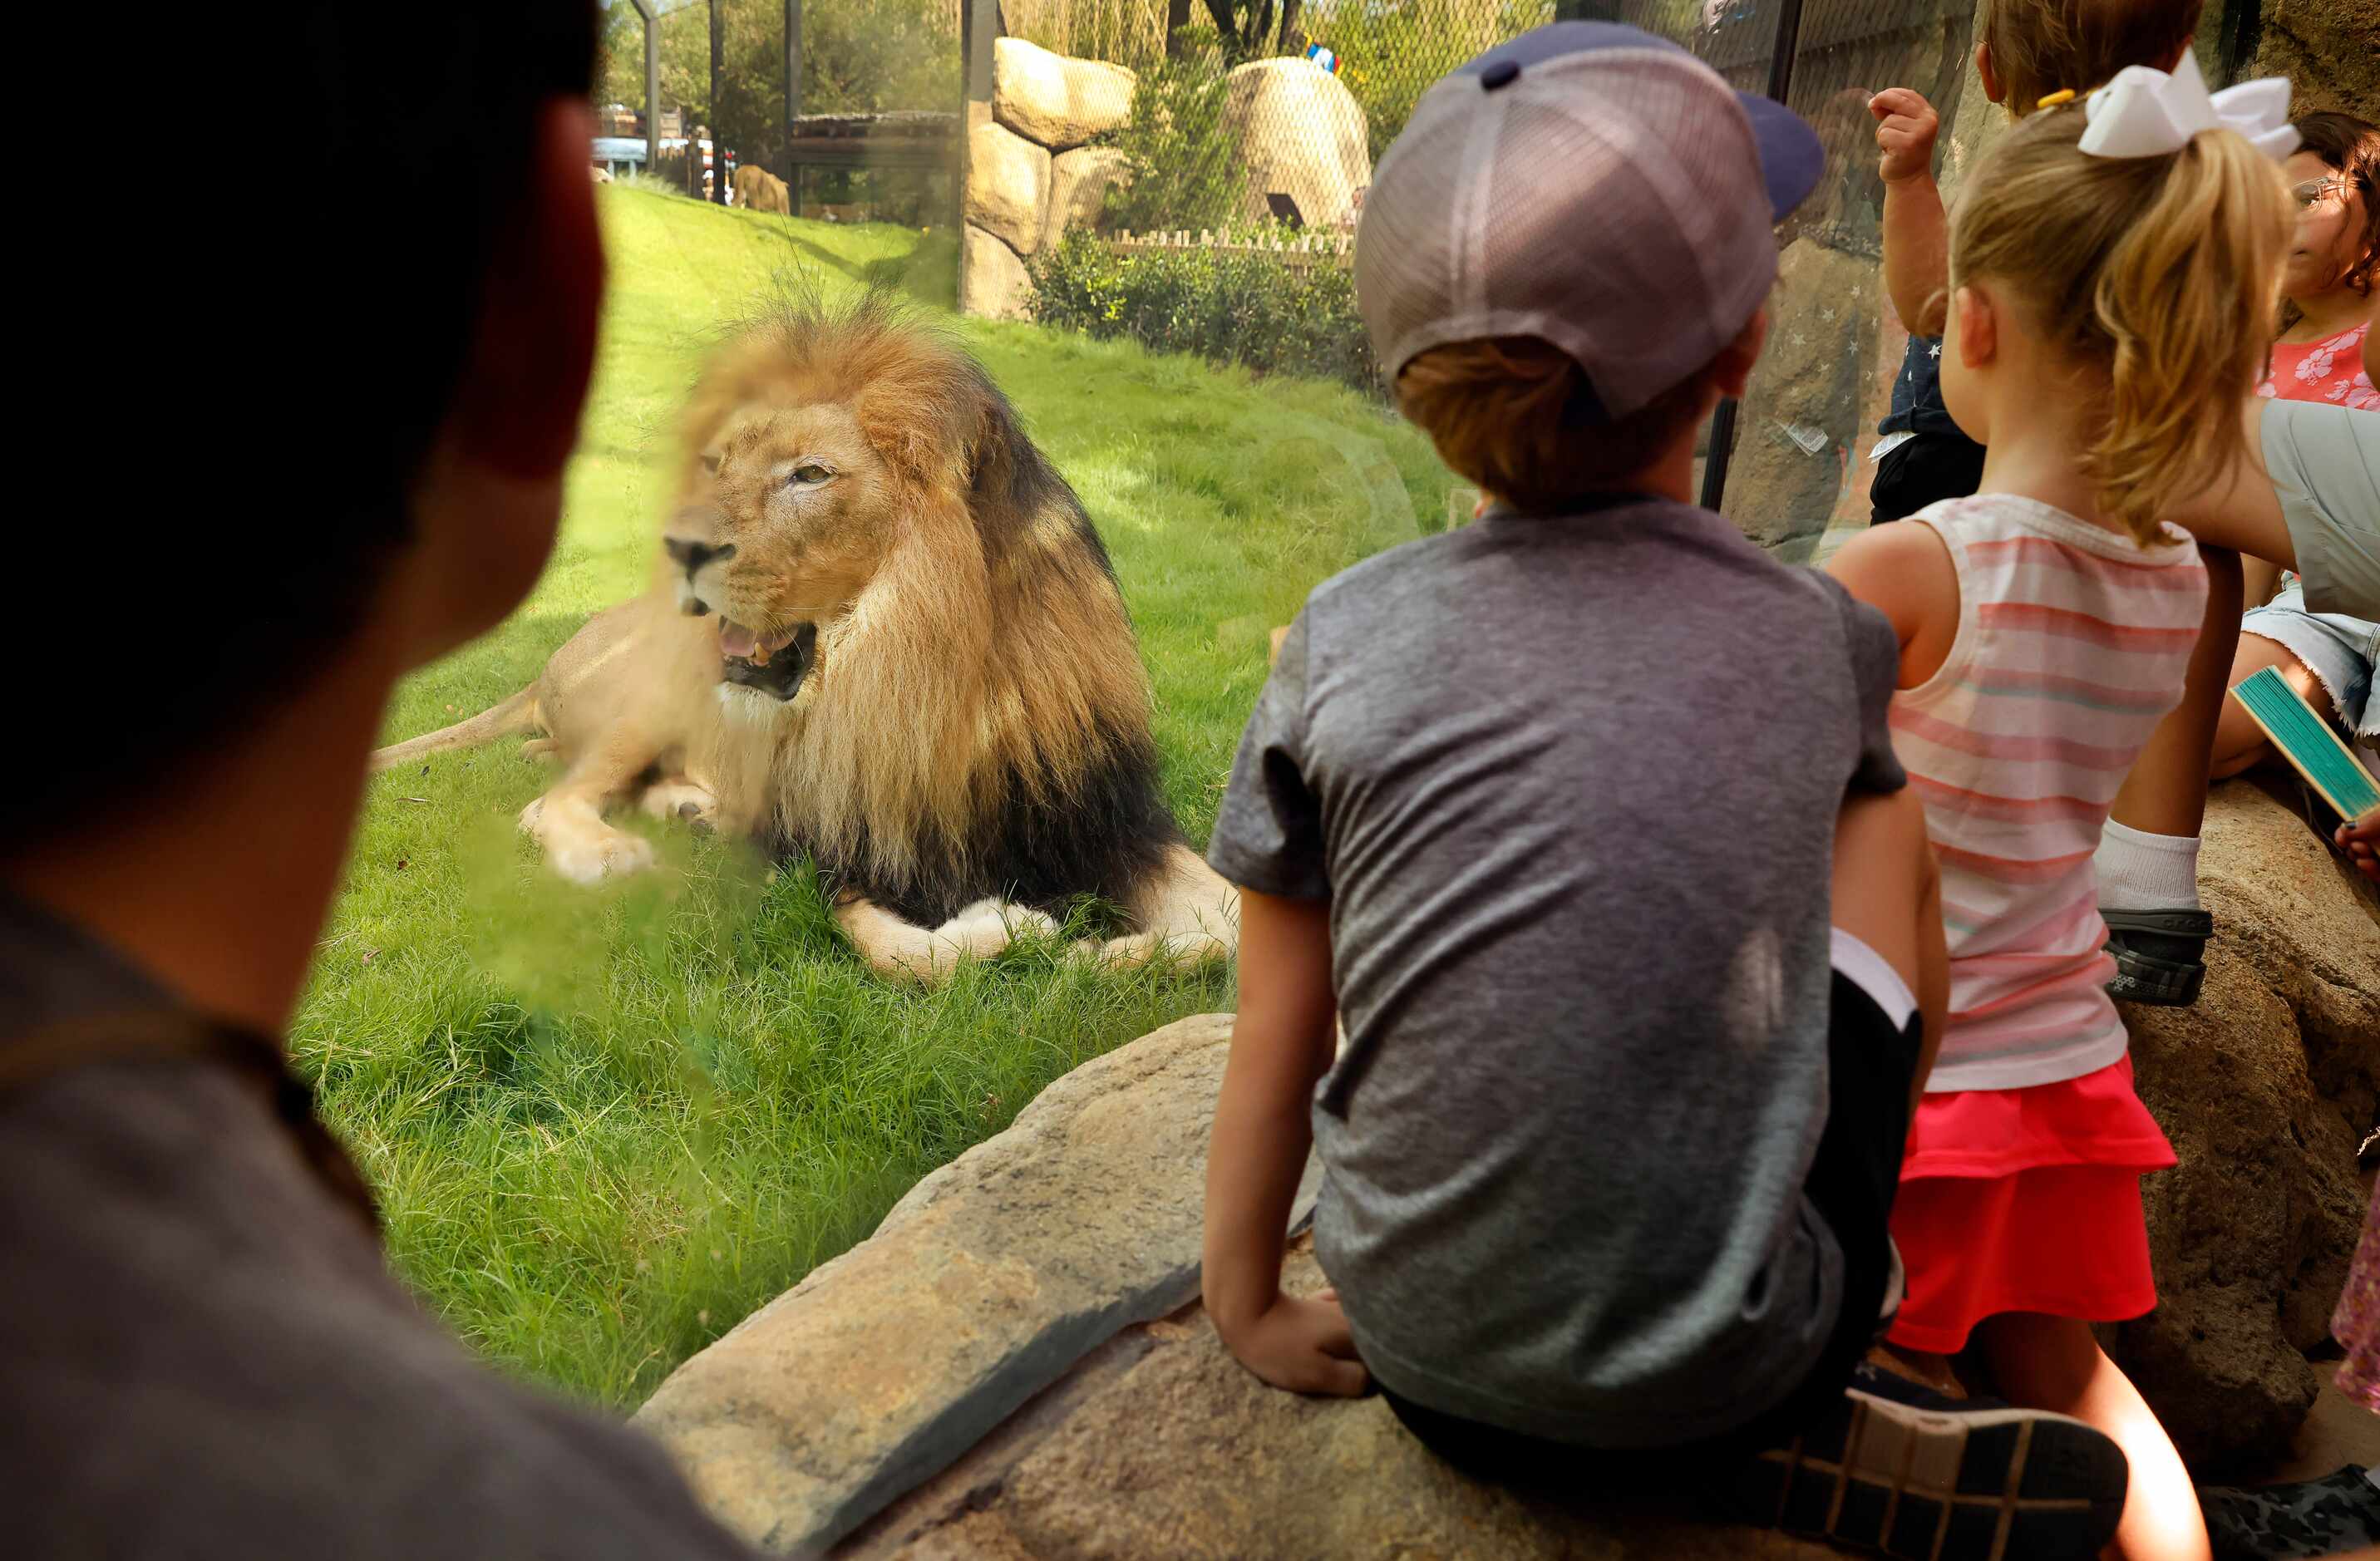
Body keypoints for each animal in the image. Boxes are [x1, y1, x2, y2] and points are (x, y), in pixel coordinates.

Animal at [373, 293, 1247, 980]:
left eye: (811, 475)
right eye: (717, 465)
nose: (675, 545)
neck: (922, 687)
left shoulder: (1106, 821)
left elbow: (1225, 923)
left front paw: (1100, 953)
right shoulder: (817, 853)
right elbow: (904, 956)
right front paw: (1018, 928)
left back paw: (691, 811)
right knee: (551, 800)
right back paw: (611, 851)